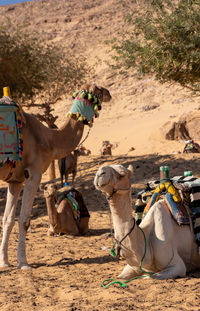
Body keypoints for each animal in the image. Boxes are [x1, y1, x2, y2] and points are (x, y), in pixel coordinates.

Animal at [0, 83, 111, 270]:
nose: (109, 93)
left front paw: (4, 262)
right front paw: (23, 263)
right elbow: (24, 220)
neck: (50, 139)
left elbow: (8, 220)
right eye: (99, 89)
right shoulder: (34, 173)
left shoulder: (16, 180)